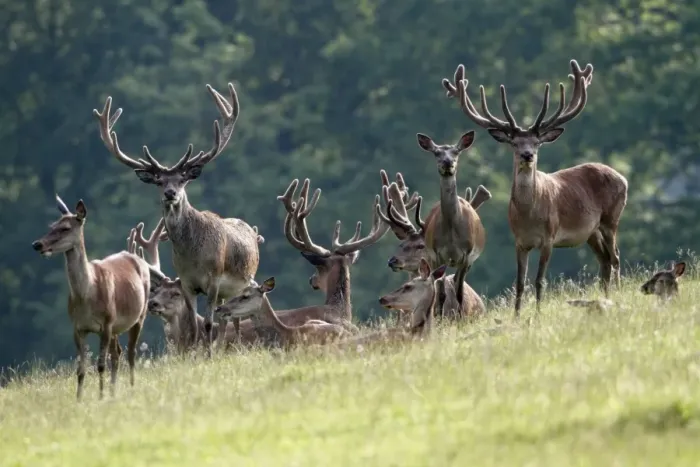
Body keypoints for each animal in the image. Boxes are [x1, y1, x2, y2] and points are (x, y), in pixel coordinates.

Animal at [31, 195, 151, 400]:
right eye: (52, 225)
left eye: (65, 228)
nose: (37, 244)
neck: (86, 296)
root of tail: (138, 258)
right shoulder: (77, 327)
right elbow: (81, 369)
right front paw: (79, 400)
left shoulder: (106, 323)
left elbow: (101, 365)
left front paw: (100, 398)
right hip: (117, 326)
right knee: (117, 354)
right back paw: (113, 392)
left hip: (139, 315)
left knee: (131, 353)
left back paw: (130, 387)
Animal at [93, 82, 260, 356]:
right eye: (159, 181)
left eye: (183, 179)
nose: (171, 193)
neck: (194, 255)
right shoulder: (188, 283)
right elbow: (193, 323)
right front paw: (194, 353)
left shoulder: (214, 280)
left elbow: (208, 323)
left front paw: (209, 355)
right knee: (225, 319)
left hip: (240, 282)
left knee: (229, 318)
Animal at [413, 131, 487, 318]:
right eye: (436, 153)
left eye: (456, 152)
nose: (447, 162)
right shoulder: (438, 255)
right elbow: (440, 293)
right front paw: (439, 318)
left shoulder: (466, 256)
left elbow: (459, 292)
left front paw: (461, 317)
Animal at [441, 59, 628, 318]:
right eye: (514, 143)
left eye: (537, 142)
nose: (527, 154)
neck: (529, 216)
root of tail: (623, 178)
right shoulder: (519, 241)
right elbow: (520, 282)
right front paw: (517, 315)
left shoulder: (549, 237)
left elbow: (540, 280)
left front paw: (538, 314)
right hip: (591, 231)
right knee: (605, 260)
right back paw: (605, 296)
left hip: (611, 218)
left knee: (616, 256)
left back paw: (617, 293)